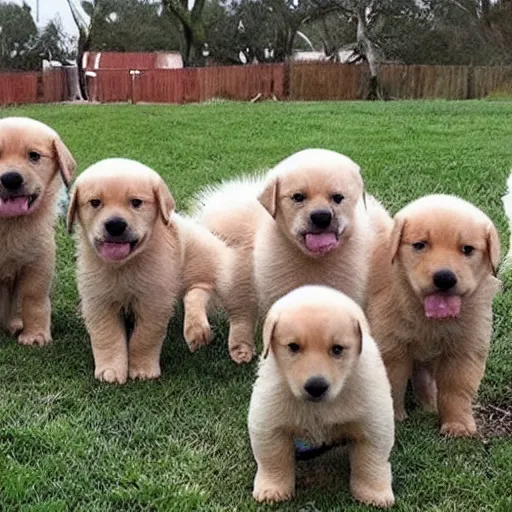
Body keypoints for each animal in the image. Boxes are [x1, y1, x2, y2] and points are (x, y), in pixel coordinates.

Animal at [0, 117, 76, 344]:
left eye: (34, 156)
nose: (11, 178)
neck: (9, 224)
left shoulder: (38, 263)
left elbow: (33, 300)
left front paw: (35, 336)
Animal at [68, 160, 250, 384]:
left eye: (136, 202)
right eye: (95, 203)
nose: (115, 224)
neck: (125, 266)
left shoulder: (154, 302)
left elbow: (144, 337)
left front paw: (142, 369)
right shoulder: (98, 300)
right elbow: (106, 336)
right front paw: (110, 370)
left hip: (198, 257)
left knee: (201, 289)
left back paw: (199, 331)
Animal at [192, 148, 388, 364]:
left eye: (338, 198)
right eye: (298, 197)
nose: (321, 216)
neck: (314, 261)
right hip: (240, 278)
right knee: (241, 316)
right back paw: (241, 350)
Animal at [248, 286, 396, 506]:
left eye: (337, 349)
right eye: (293, 347)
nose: (316, 386)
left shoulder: (374, 420)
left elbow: (371, 460)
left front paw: (374, 493)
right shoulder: (268, 418)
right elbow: (273, 458)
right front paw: (272, 489)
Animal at [366, 194, 502, 438]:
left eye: (467, 249)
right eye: (420, 245)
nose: (444, 278)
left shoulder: (464, 349)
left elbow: (455, 390)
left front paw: (457, 425)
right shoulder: (392, 346)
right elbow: (394, 383)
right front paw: (395, 417)